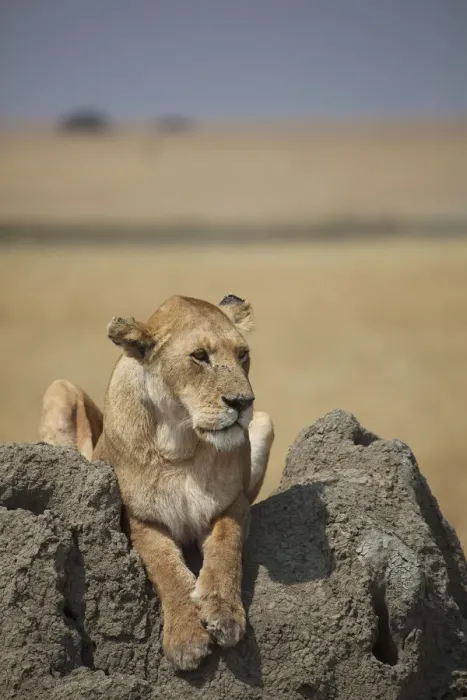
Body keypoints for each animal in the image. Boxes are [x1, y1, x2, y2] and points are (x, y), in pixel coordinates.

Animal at [39, 294, 274, 671]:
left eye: (242, 354)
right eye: (199, 356)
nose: (242, 403)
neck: (180, 442)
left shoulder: (232, 503)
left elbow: (226, 547)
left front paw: (223, 614)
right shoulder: (138, 517)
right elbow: (165, 566)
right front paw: (187, 637)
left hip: (265, 421)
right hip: (60, 387)